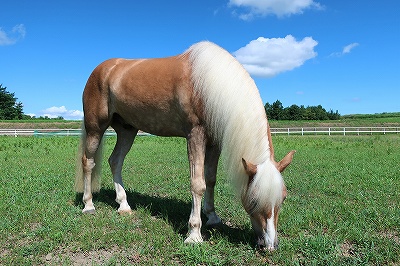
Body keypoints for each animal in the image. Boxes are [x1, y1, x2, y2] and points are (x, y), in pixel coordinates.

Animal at [74, 40, 294, 250]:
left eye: (283, 198)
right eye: (254, 200)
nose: (270, 245)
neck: (210, 84)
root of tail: (103, 69)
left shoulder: (214, 142)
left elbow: (210, 179)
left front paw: (212, 217)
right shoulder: (195, 135)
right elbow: (197, 184)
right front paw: (194, 234)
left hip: (127, 130)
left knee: (115, 161)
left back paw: (124, 205)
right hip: (96, 128)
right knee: (88, 162)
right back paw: (88, 205)